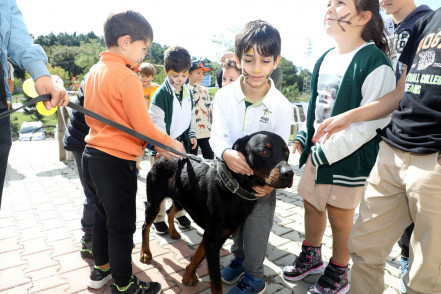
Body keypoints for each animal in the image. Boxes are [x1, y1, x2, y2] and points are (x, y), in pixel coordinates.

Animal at [140, 131, 292, 294]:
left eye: (287, 153)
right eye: (264, 152)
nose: (289, 174)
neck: (233, 187)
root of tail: (162, 156)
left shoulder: (213, 234)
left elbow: (199, 254)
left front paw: (188, 274)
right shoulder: (213, 239)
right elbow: (216, 281)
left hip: (182, 199)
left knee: (170, 211)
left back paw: (173, 232)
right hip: (155, 202)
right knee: (145, 226)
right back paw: (145, 253)